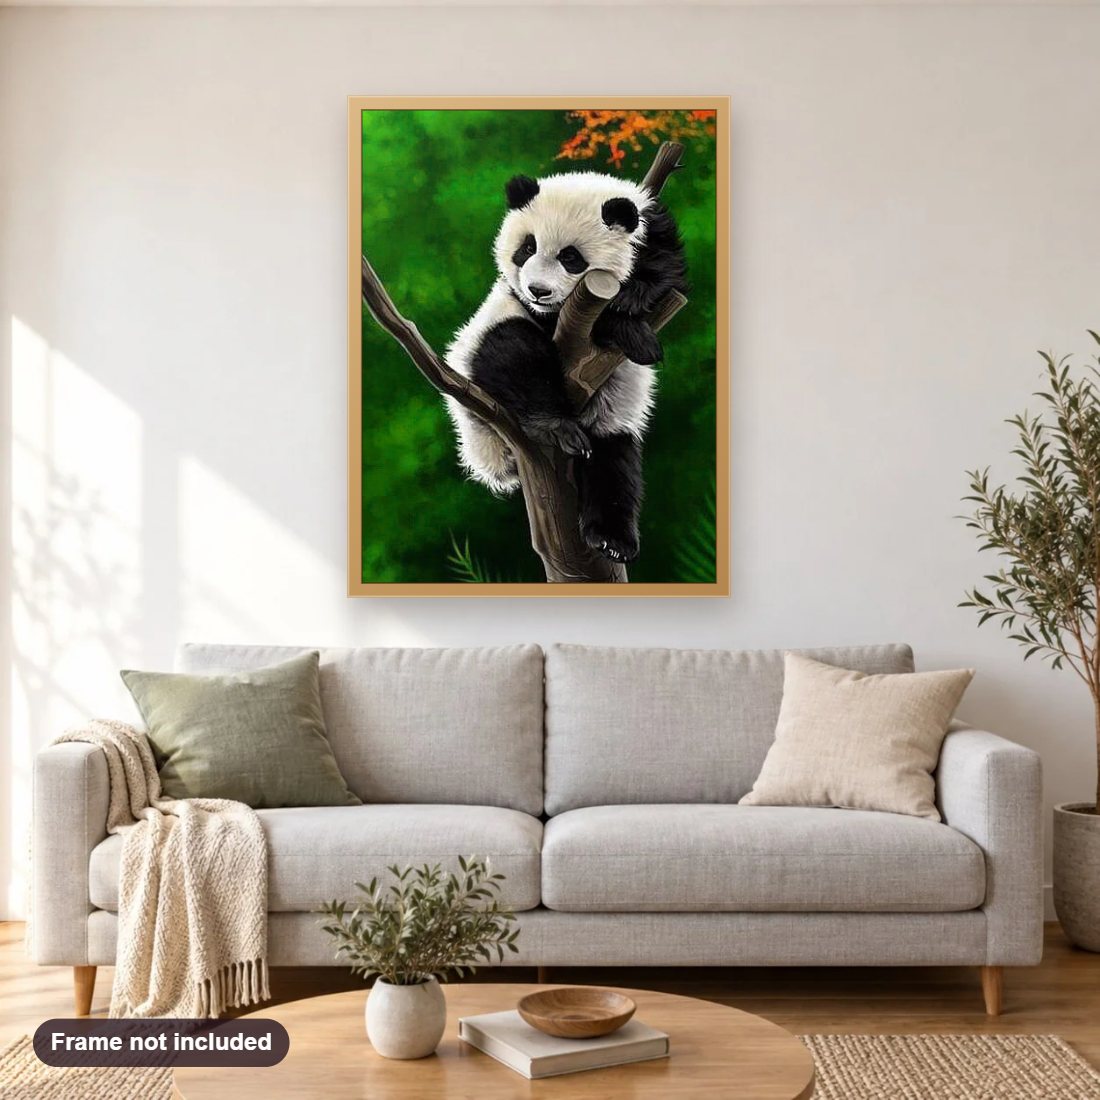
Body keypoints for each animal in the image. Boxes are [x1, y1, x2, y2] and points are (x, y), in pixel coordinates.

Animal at [445, 170, 688, 564]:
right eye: (527, 248)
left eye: (570, 257)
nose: (538, 290)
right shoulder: (521, 305)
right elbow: (521, 347)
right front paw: (629, 332)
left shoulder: (654, 233)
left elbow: (664, 276)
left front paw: (632, 308)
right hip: (481, 359)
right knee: (514, 351)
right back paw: (556, 427)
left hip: (610, 414)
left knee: (613, 460)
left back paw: (611, 539)